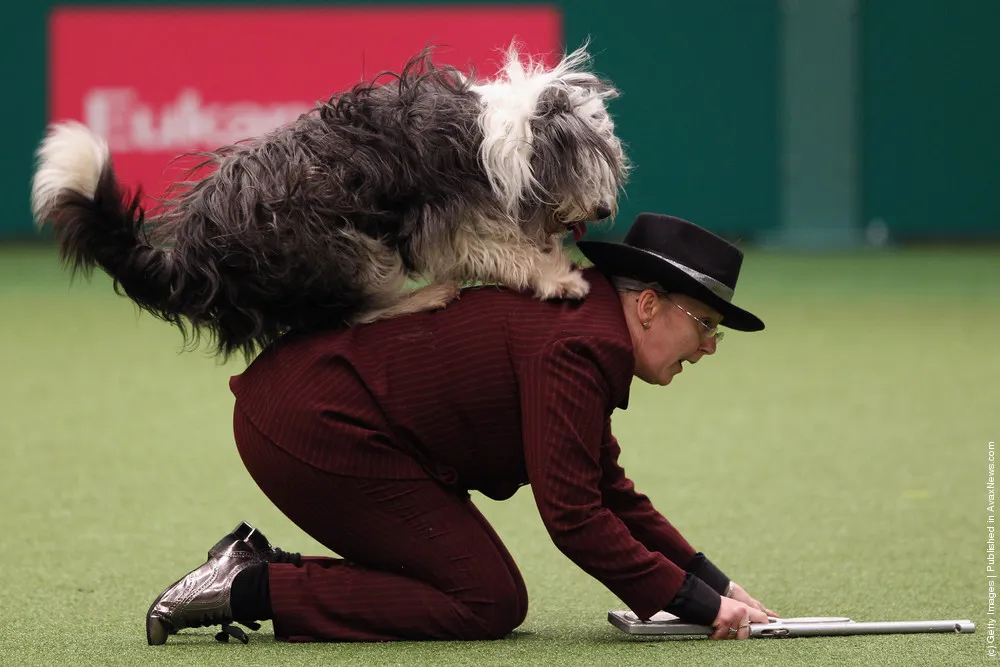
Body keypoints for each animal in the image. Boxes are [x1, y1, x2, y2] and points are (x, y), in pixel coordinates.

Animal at [31, 43, 628, 358]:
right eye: (590, 164)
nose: (602, 213)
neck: (505, 138)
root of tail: (195, 254)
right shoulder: (445, 219)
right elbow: (496, 251)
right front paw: (558, 278)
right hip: (342, 246)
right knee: (348, 317)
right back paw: (426, 297)